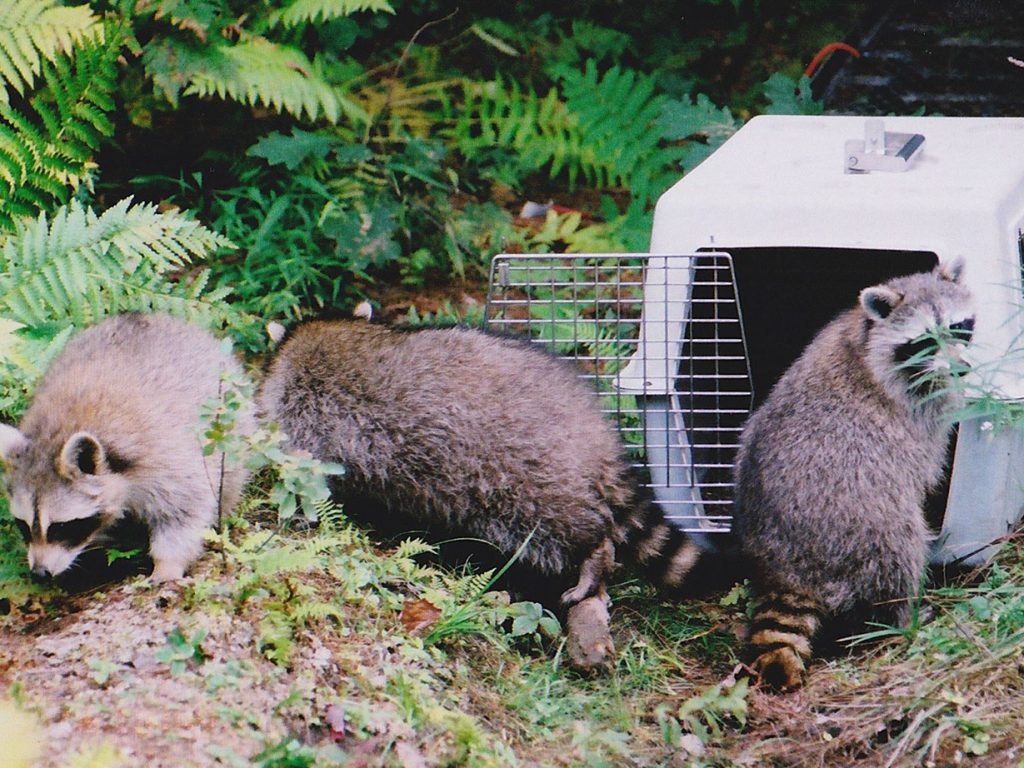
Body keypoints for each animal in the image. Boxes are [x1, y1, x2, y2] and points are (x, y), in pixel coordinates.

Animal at [0, 313, 253, 581]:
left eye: (61, 527)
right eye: (23, 525)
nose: (39, 573)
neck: (57, 431)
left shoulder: (165, 458)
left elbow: (185, 509)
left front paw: (167, 565)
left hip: (232, 425)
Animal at [733, 262, 970, 696]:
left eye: (958, 326)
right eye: (925, 340)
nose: (962, 369)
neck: (866, 334)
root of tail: (788, 563)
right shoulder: (918, 412)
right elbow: (926, 464)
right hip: (859, 520)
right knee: (898, 553)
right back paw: (899, 619)